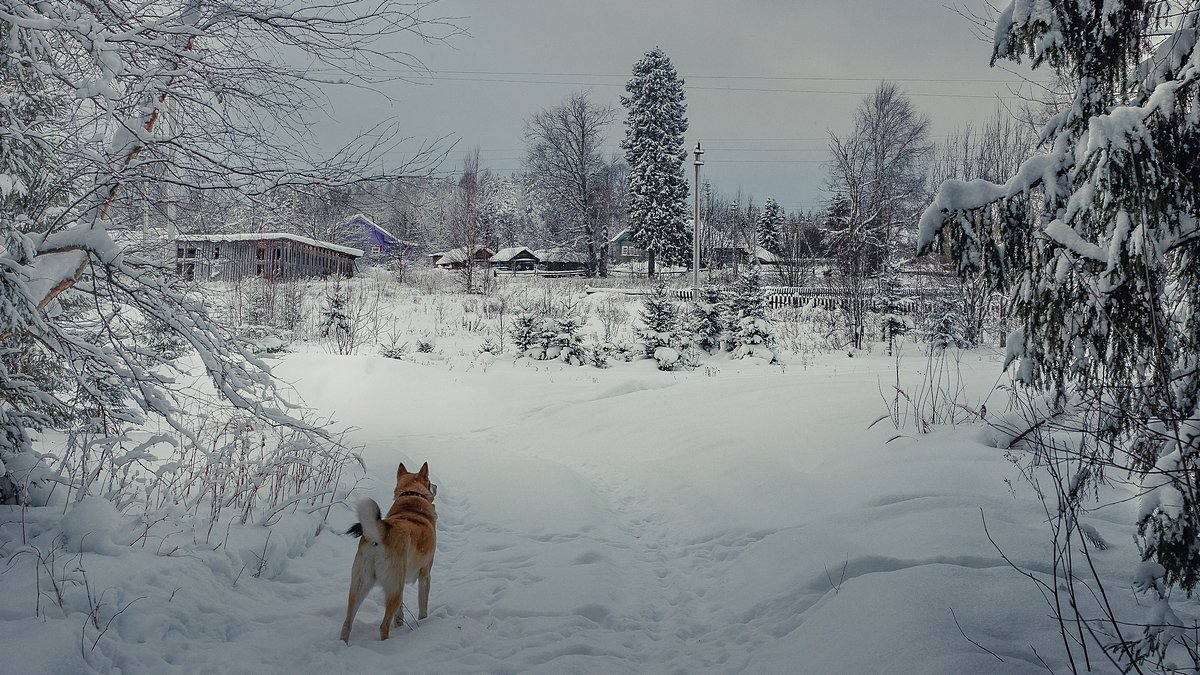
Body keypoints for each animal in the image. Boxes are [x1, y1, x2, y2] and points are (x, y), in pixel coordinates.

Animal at [340, 456, 439, 638]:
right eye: (429, 482)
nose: (436, 486)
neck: (412, 498)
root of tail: (378, 536)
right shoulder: (425, 575)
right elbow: (423, 608)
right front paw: (424, 622)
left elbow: (399, 613)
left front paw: (399, 624)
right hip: (394, 587)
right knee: (383, 625)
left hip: (360, 585)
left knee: (347, 624)